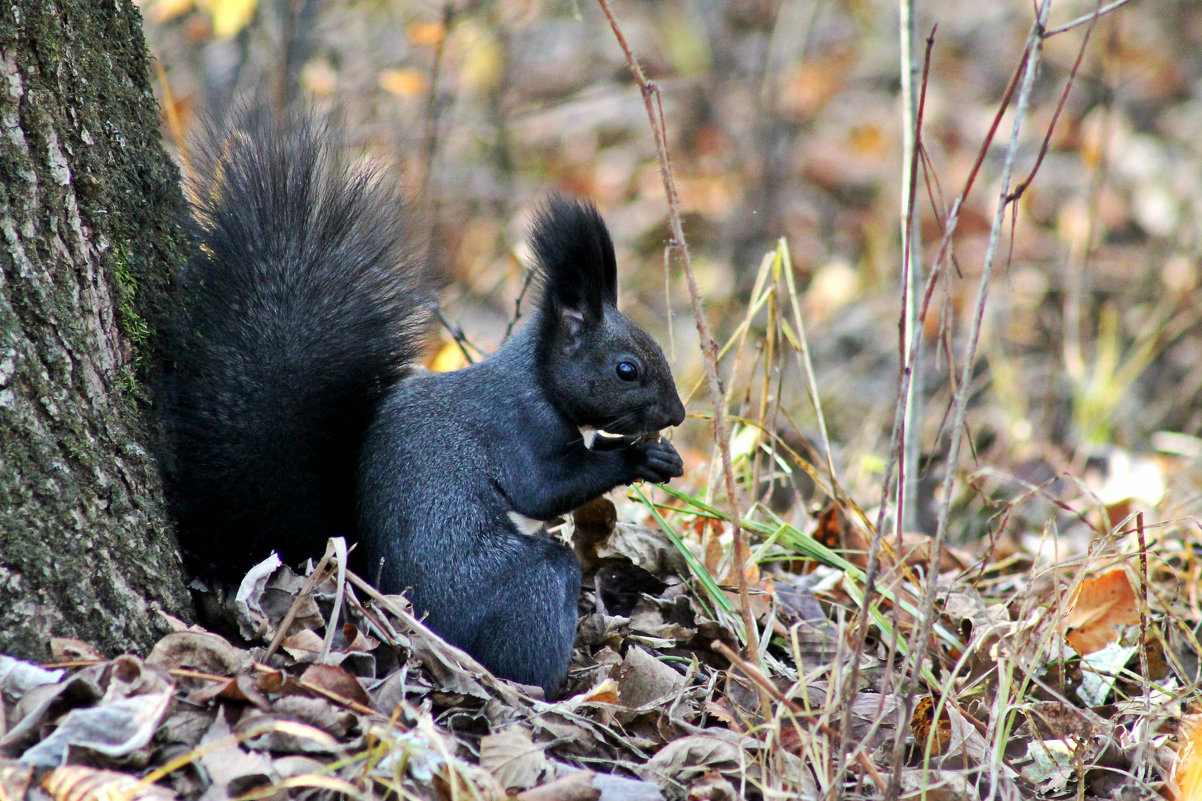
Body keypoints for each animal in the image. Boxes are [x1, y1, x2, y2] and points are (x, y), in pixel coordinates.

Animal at [162, 109, 687, 697]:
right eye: (627, 370)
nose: (678, 415)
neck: (536, 379)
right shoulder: (518, 429)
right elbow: (544, 489)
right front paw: (639, 456)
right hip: (521, 588)